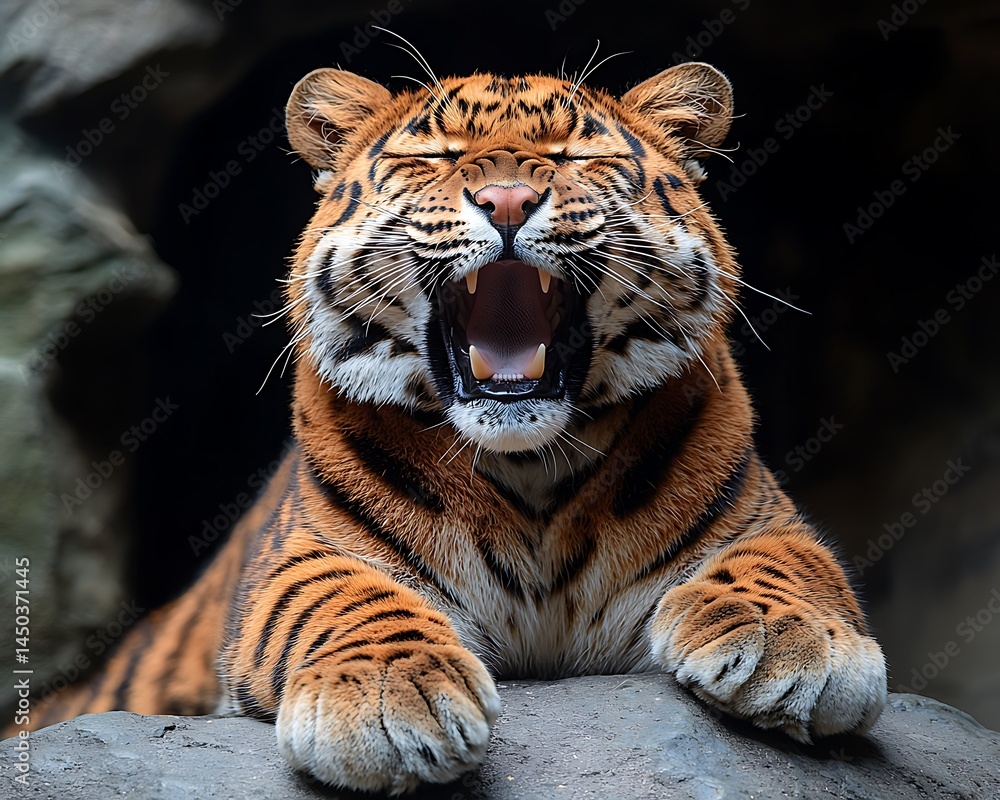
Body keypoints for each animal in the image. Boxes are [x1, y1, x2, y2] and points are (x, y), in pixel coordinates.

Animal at [16, 59, 887, 795]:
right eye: (439, 157)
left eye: (571, 155)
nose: (506, 202)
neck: (531, 472)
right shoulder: (298, 555)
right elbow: (345, 596)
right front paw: (387, 697)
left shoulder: (765, 515)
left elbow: (788, 561)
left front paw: (789, 641)